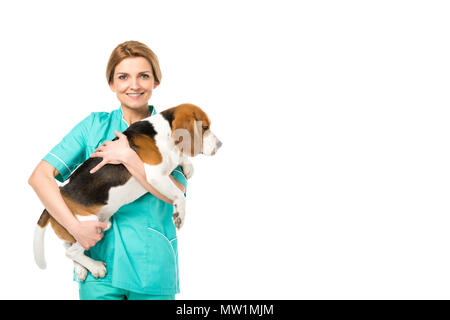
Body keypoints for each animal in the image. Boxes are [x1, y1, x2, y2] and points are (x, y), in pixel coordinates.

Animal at [33, 104, 221, 278]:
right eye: (205, 127)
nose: (220, 145)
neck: (164, 133)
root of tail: (59, 193)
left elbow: (180, 158)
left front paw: (187, 166)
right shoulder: (154, 176)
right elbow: (180, 196)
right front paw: (179, 216)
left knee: (68, 246)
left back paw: (81, 268)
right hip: (89, 226)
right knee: (71, 251)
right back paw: (96, 267)